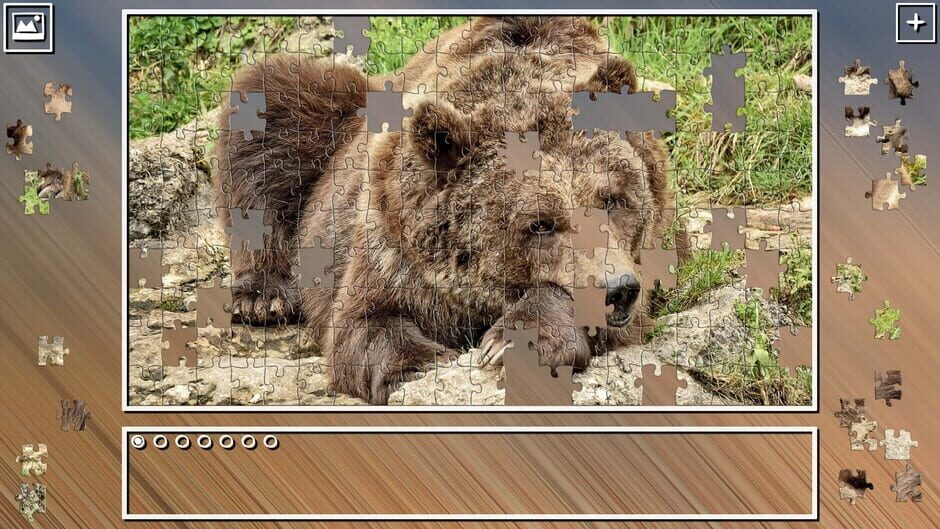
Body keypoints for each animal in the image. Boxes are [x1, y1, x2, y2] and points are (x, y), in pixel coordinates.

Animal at [214, 16, 671, 404]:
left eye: (613, 199)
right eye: (539, 224)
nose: (617, 290)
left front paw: (513, 340)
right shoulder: (393, 245)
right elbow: (361, 324)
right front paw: (423, 362)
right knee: (270, 101)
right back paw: (263, 297)